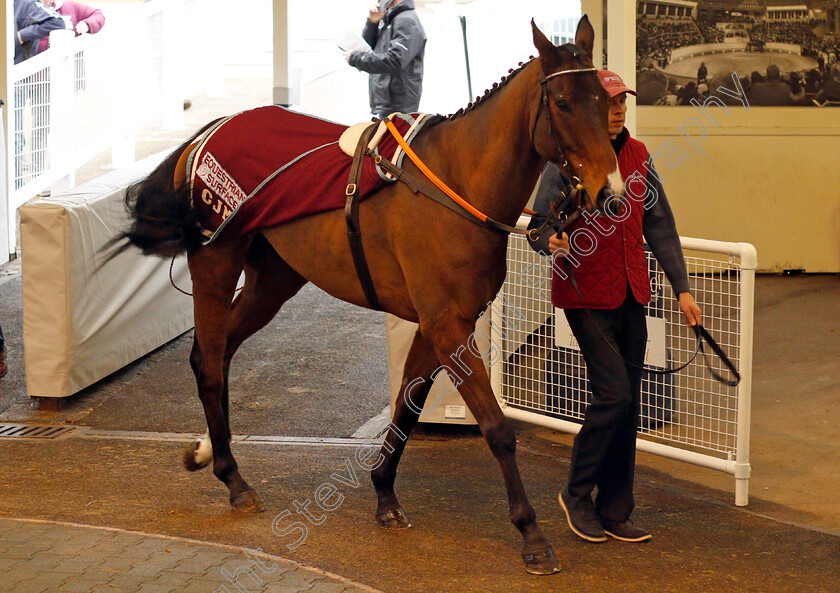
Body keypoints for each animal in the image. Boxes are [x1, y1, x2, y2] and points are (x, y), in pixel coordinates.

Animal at [115, 19, 620, 572]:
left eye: (603, 100)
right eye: (565, 103)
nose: (607, 189)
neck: (455, 180)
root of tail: (211, 130)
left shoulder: (438, 323)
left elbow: (407, 406)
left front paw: (384, 491)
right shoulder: (448, 325)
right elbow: (496, 428)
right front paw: (531, 533)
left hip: (273, 281)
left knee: (221, 350)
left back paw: (211, 449)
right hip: (216, 263)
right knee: (207, 362)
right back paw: (233, 477)